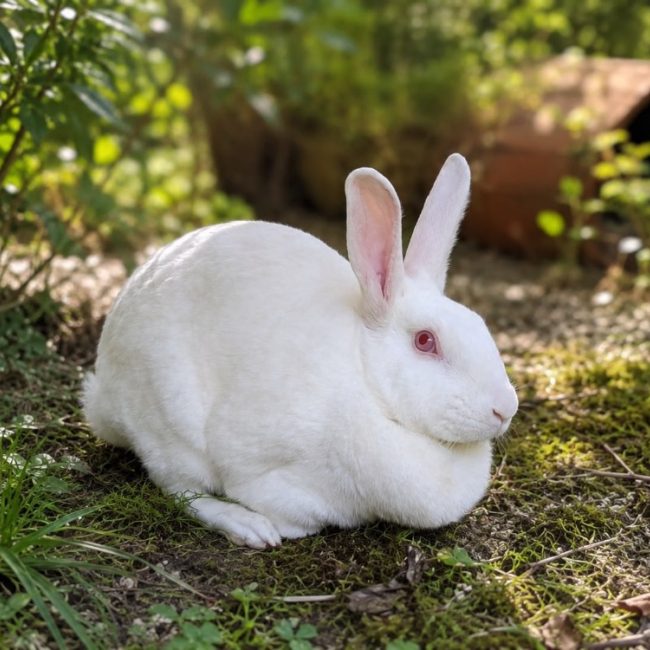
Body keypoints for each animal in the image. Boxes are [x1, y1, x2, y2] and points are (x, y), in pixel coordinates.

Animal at [83, 153, 518, 548]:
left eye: (480, 324)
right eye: (426, 341)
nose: (505, 409)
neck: (366, 383)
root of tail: (101, 393)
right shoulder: (259, 466)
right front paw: (278, 525)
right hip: (169, 423)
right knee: (180, 490)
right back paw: (248, 527)